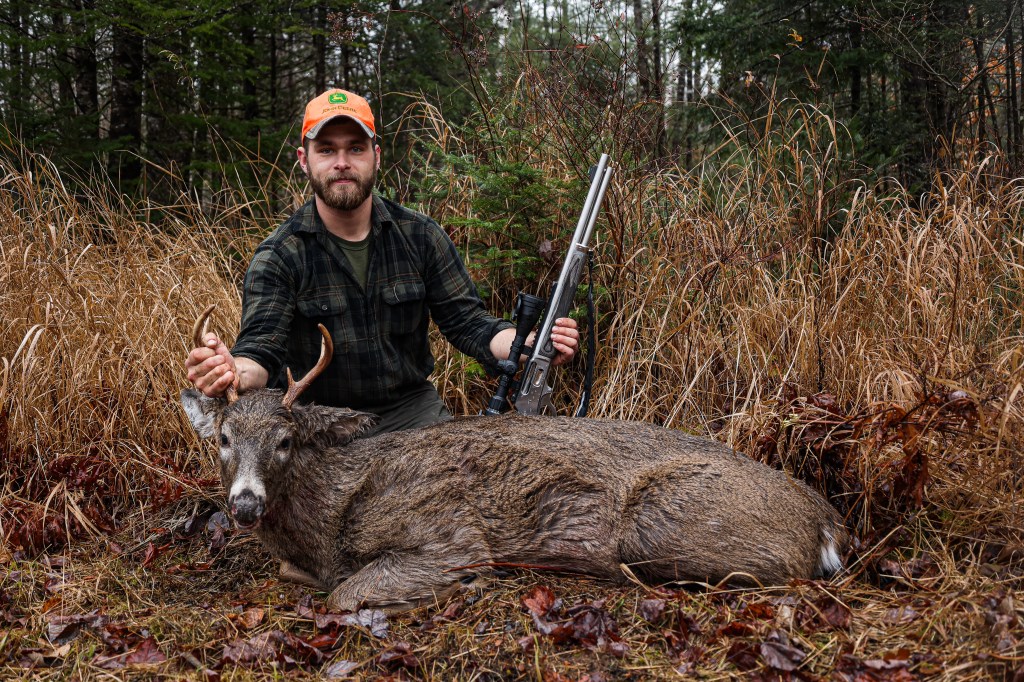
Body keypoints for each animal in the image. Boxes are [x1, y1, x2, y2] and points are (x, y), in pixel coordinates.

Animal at [181, 307, 848, 613]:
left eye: (285, 440)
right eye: (223, 438)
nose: (245, 505)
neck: (330, 516)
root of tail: (826, 521)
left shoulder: (448, 533)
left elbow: (344, 594)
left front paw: (464, 586)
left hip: (661, 524)